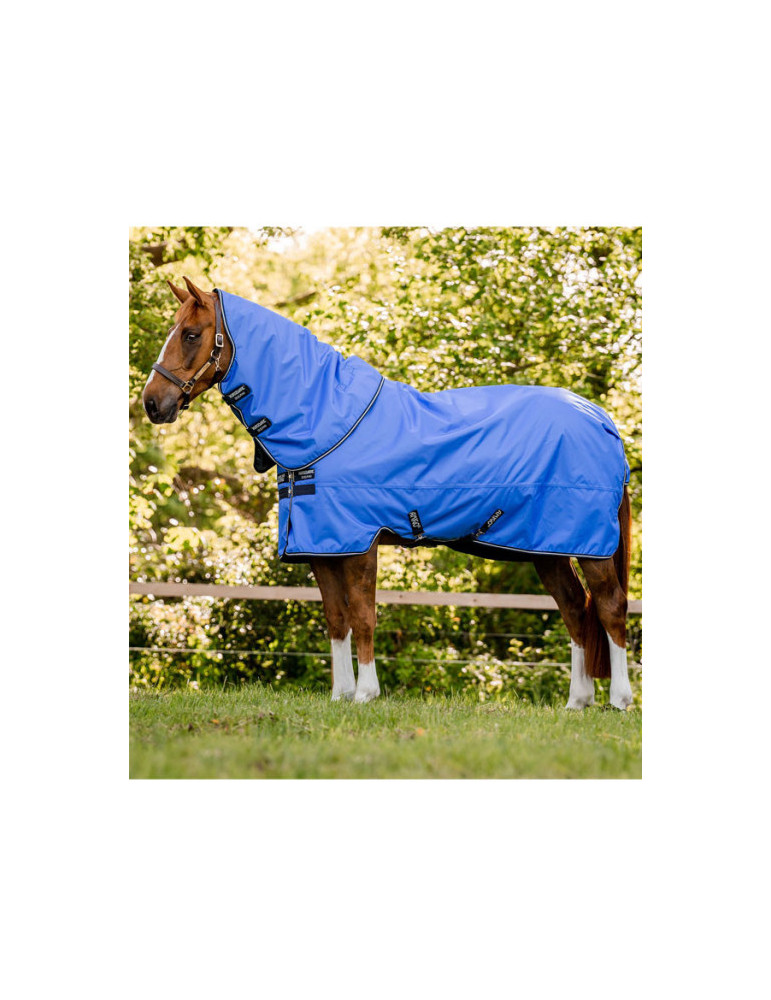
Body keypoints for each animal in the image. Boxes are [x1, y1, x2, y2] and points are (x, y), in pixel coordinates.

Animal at [142, 276, 634, 710]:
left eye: (190, 334)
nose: (152, 403)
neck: (327, 419)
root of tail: (599, 417)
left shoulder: (361, 543)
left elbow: (363, 615)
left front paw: (366, 694)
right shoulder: (322, 548)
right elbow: (336, 620)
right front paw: (340, 695)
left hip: (590, 547)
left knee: (609, 607)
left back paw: (620, 701)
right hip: (549, 549)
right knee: (575, 611)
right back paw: (577, 701)